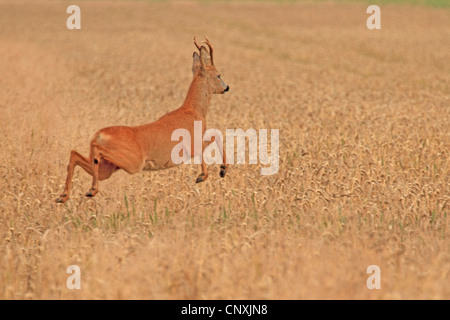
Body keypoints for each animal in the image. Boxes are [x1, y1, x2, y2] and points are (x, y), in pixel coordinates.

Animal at [56, 37, 230, 202]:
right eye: (219, 75)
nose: (226, 87)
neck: (194, 111)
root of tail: (98, 135)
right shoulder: (191, 146)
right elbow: (215, 137)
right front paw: (213, 173)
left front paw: (214, 172)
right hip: (133, 162)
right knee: (91, 153)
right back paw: (91, 190)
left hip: (109, 167)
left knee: (75, 155)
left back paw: (63, 196)